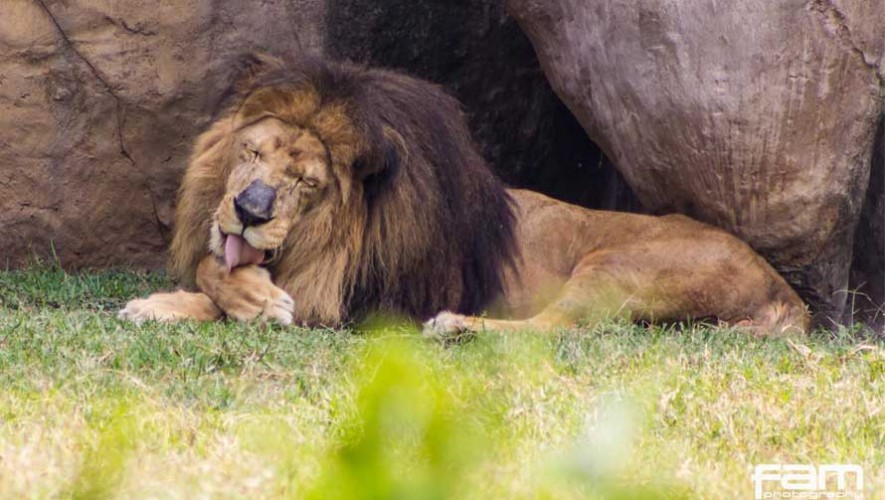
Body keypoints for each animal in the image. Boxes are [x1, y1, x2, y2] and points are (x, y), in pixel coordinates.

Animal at [119, 54, 810, 337]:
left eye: (307, 183)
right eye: (253, 153)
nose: (249, 211)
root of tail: (783, 288)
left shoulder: (369, 298)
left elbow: (241, 288)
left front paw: (256, 304)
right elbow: (213, 268)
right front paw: (163, 303)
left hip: (616, 263)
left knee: (556, 328)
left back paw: (454, 325)